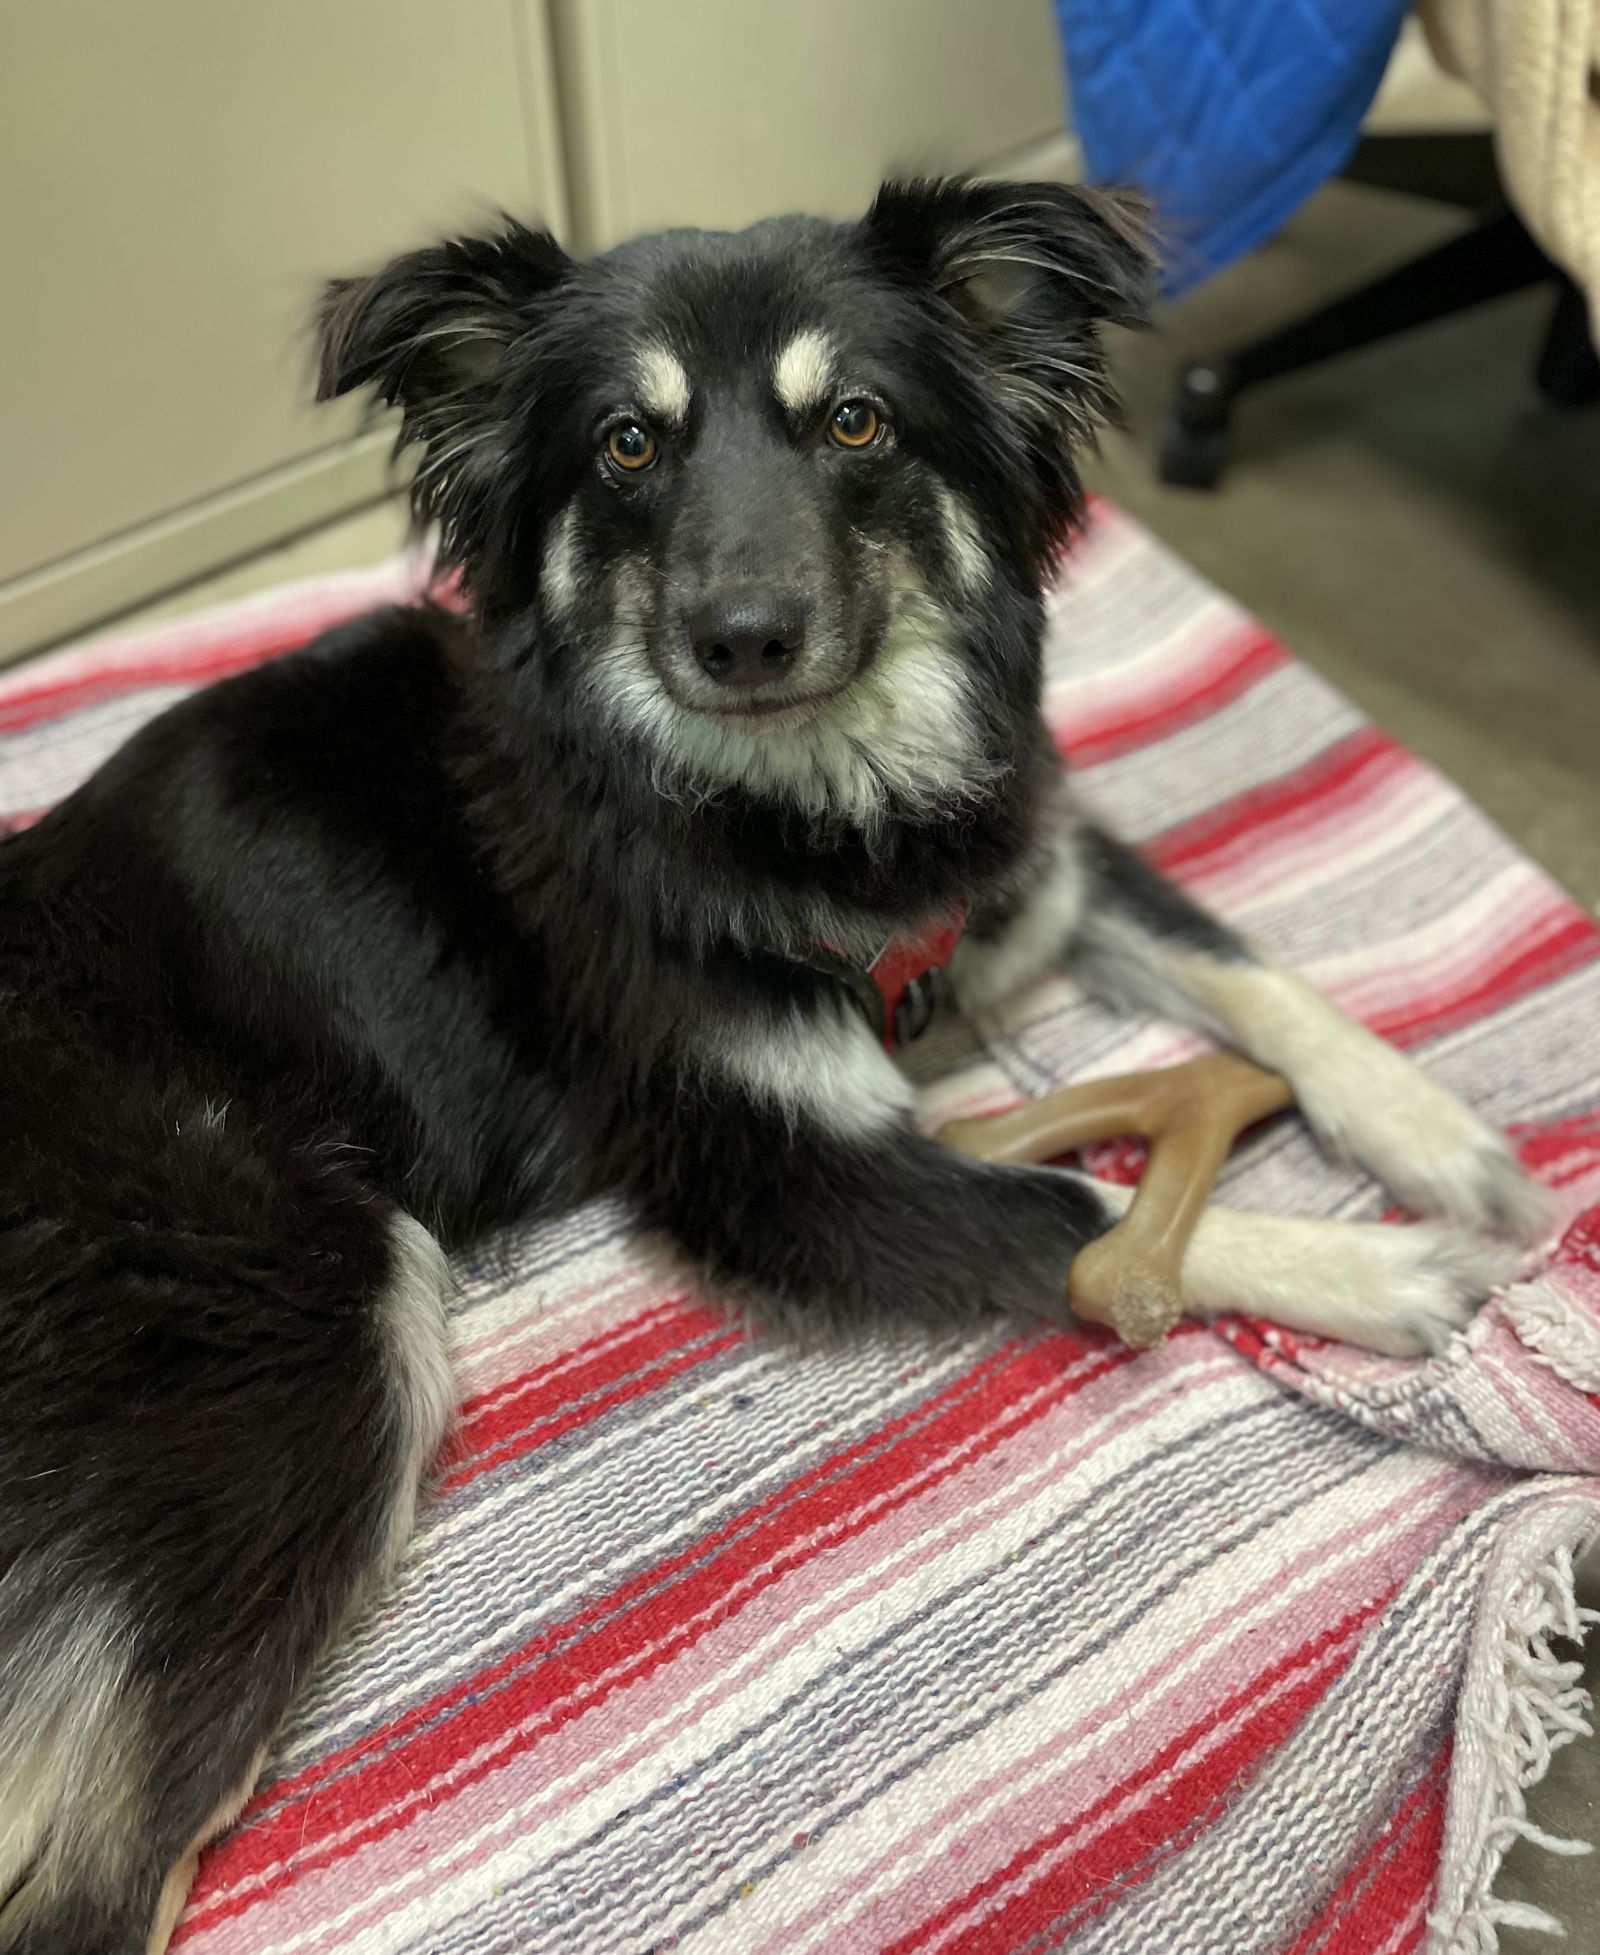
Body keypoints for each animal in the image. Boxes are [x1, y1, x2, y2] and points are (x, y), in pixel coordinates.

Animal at [0, 179, 1549, 1939]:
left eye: (856, 420)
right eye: (625, 444)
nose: (742, 635)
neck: (808, 806)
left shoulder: (1030, 859)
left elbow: (1254, 972)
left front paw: (1442, 1140)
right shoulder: (775, 1170)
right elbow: (1092, 1213)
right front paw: (1394, 1274)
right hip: (305, 1309)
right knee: (100, 1849)